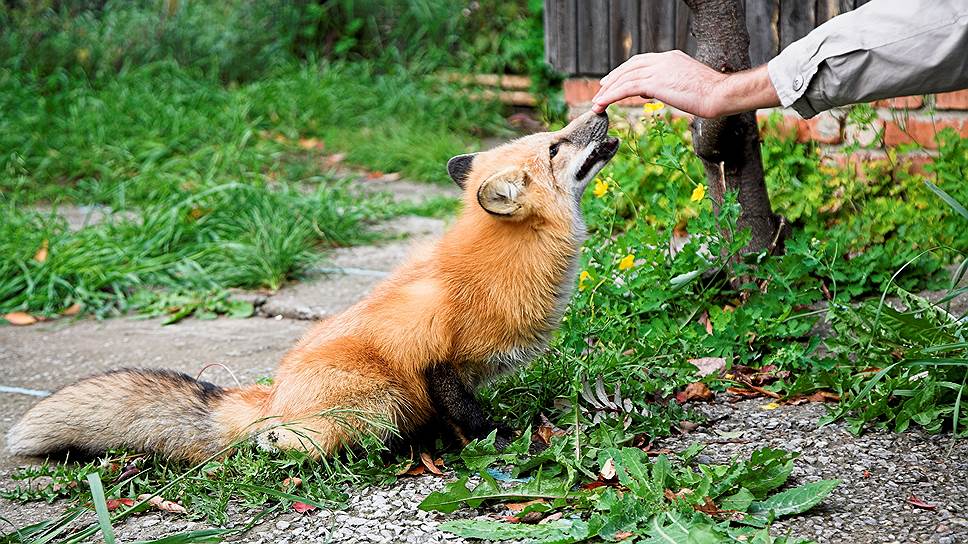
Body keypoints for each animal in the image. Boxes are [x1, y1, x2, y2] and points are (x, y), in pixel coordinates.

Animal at [6, 111, 619, 463]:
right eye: (554, 147)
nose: (603, 112)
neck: (502, 265)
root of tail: (274, 393)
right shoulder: (436, 362)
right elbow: (471, 416)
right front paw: (510, 442)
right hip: (381, 400)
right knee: (290, 440)